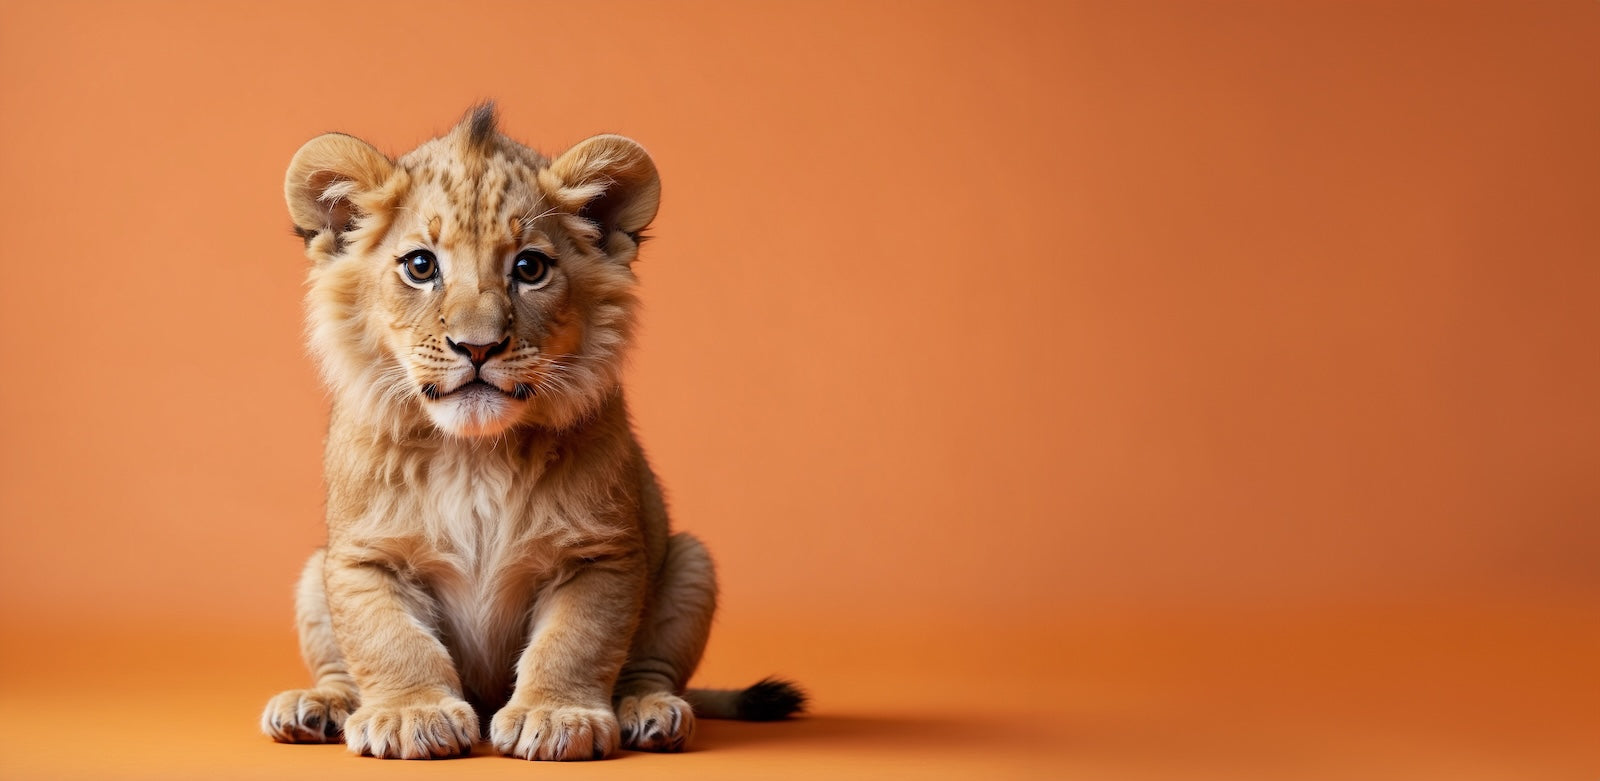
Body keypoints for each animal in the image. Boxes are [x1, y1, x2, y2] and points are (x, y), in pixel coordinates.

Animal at [259, 104, 802, 761]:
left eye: (530, 268)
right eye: (421, 266)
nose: (477, 346)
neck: (472, 456)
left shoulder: (599, 555)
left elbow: (575, 642)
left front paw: (556, 715)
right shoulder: (364, 558)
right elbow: (390, 641)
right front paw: (412, 715)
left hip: (693, 563)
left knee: (652, 667)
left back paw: (650, 710)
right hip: (312, 577)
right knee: (341, 667)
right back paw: (317, 706)